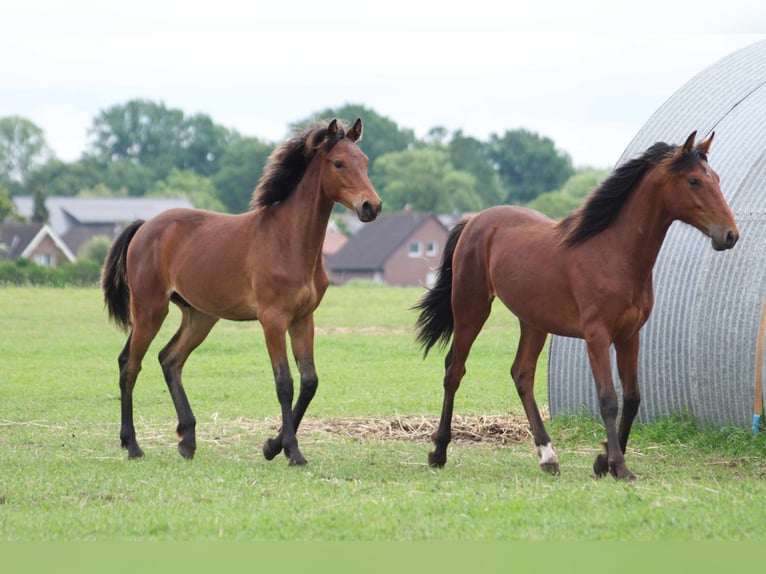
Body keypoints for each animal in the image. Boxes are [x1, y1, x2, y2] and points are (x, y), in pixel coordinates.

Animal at [102, 118, 384, 468]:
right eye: (339, 163)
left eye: (365, 162)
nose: (371, 206)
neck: (289, 240)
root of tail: (144, 226)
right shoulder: (272, 319)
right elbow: (284, 383)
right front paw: (292, 451)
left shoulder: (303, 319)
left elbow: (309, 382)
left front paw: (273, 446)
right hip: (150, 309)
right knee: (131, 365)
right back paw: (133, 445)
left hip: (199, 316)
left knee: (169, 359)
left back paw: (187, 441)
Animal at [416, 132, 740, 482]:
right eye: (694, 181)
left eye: (716, 178)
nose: (730, 235)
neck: (613, 252)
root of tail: (474, 220)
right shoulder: (597, 336)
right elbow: (608, 398)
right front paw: (618, 466)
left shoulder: (629, 336)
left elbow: (633, 398)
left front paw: (603, 461)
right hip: (471, 309)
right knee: (454, 370)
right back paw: (439, 452)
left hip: (533, 322)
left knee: (522, 374)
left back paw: (548, 456)